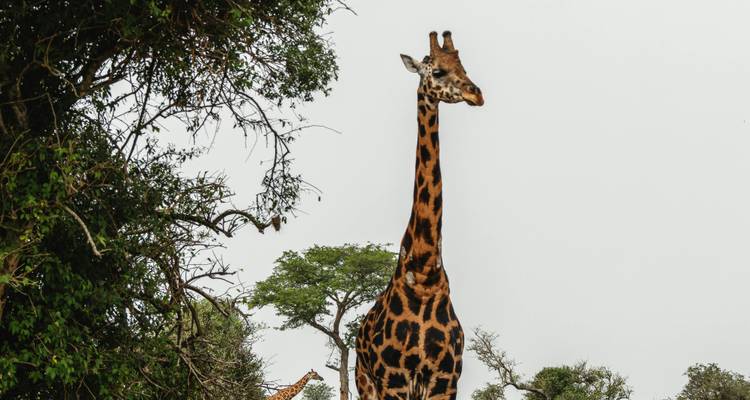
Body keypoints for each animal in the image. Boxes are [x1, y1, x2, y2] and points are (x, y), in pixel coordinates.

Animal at [355, 31, 484, 400]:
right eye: (437, 71)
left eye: (463, 66)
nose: (477, 93)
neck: (425, 274)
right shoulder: (393, 379)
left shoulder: (445, 379)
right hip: (365, 383)